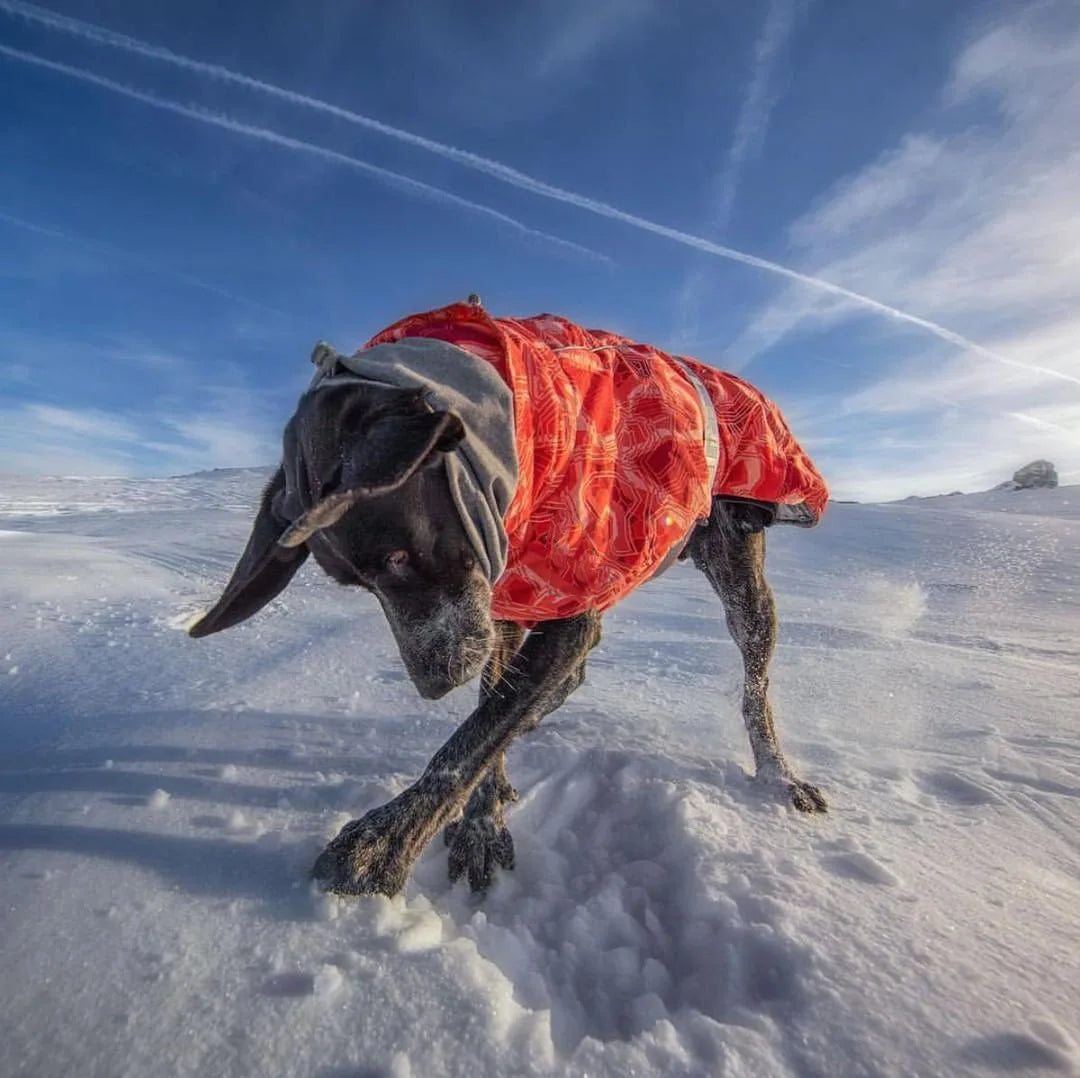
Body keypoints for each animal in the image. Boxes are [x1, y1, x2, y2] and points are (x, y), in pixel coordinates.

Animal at [187, 300, 825, 898]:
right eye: (362, 586)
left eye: (397, 558)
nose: (432, 683)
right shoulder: (503, 596)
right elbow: (491, 713)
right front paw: (482, 821)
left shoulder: (561, 613)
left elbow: (473, 739)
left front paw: (382, 844)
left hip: (744, 584)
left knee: (755, 687)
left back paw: (778, 776)